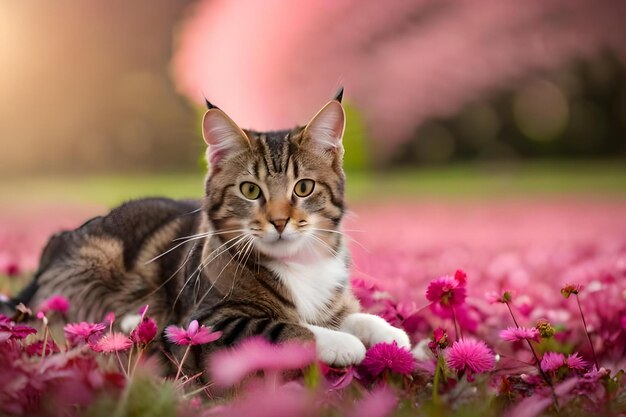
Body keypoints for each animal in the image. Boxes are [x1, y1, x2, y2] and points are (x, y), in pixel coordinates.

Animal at [12, 91, 410, 370]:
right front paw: (341, 344)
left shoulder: (336, 295)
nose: (279, 221)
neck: (299, 264)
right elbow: (286, 327)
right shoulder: (208, 321)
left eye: (304, 188)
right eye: (250, 190)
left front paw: (392, 337)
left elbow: (356, 314)